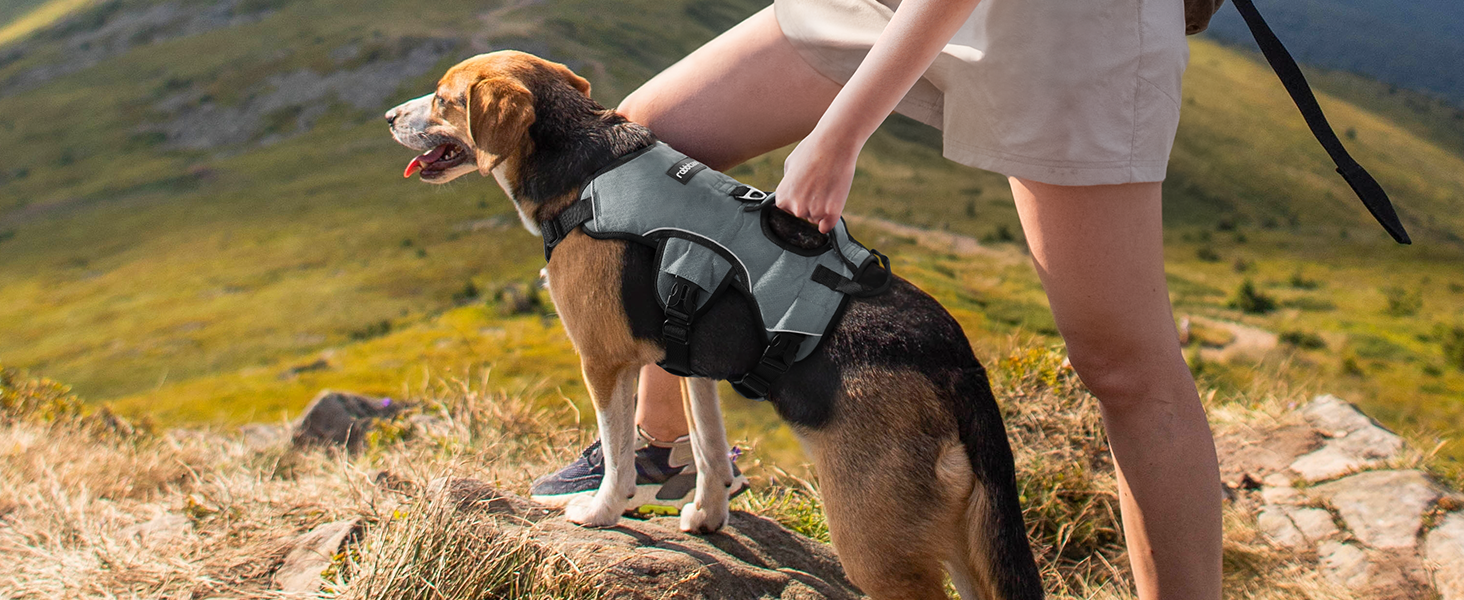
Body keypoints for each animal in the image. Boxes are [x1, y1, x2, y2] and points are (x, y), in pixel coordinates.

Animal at [386, 51, 1054, 600]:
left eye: (445, 99)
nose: (390, 115)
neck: (585, 165)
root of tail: (953, 356)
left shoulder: (604, 360)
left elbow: (620, 452)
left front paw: (601, 511)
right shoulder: (691, 364)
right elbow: (708, 449)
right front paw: (708, 517)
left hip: (876, 539)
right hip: (965, 540)